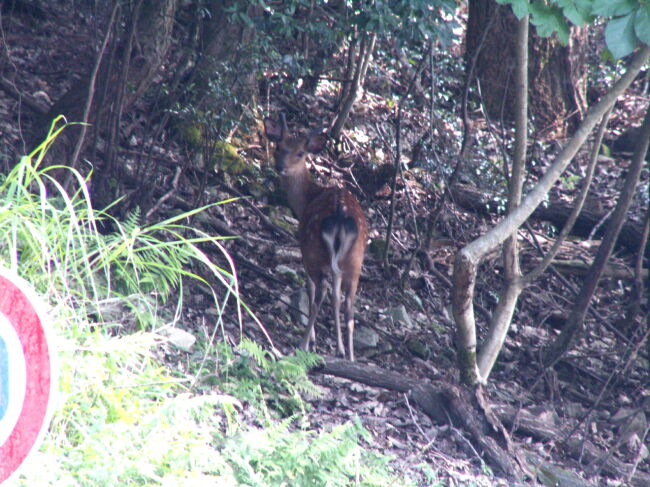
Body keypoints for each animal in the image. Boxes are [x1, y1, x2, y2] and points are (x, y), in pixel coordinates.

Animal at [263, 115, 368, 361]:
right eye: (279, 147)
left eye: (301, 153)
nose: (280, 167)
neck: (307, 198)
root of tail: (340, 215)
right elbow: (336, 298)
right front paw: (339, 348)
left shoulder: (304, 248)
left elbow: (311, 290)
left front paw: (312, 340)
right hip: (354, 260)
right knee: (349, 305)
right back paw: (351, 356)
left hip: (315, 251)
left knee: (317, 295)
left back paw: (303, 343)